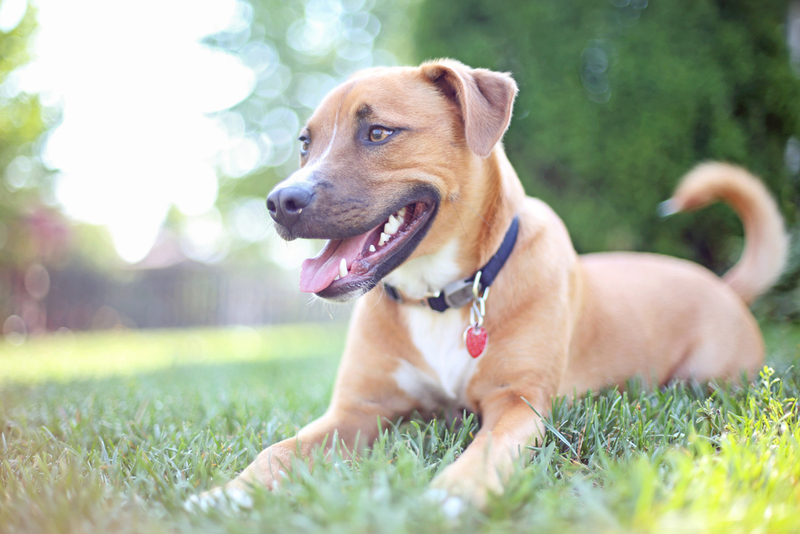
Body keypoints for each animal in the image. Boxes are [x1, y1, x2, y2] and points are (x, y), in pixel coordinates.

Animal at [188, 59, 788, 516]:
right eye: (304, 144)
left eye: (378, 132)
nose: (280, 202)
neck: (437, 296)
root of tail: (724, 285)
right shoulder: (356, 411)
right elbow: (278, 451)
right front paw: (224, 494)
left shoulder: (517, 404)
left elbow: (486, 448)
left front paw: (453, 493)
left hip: (710, 375)